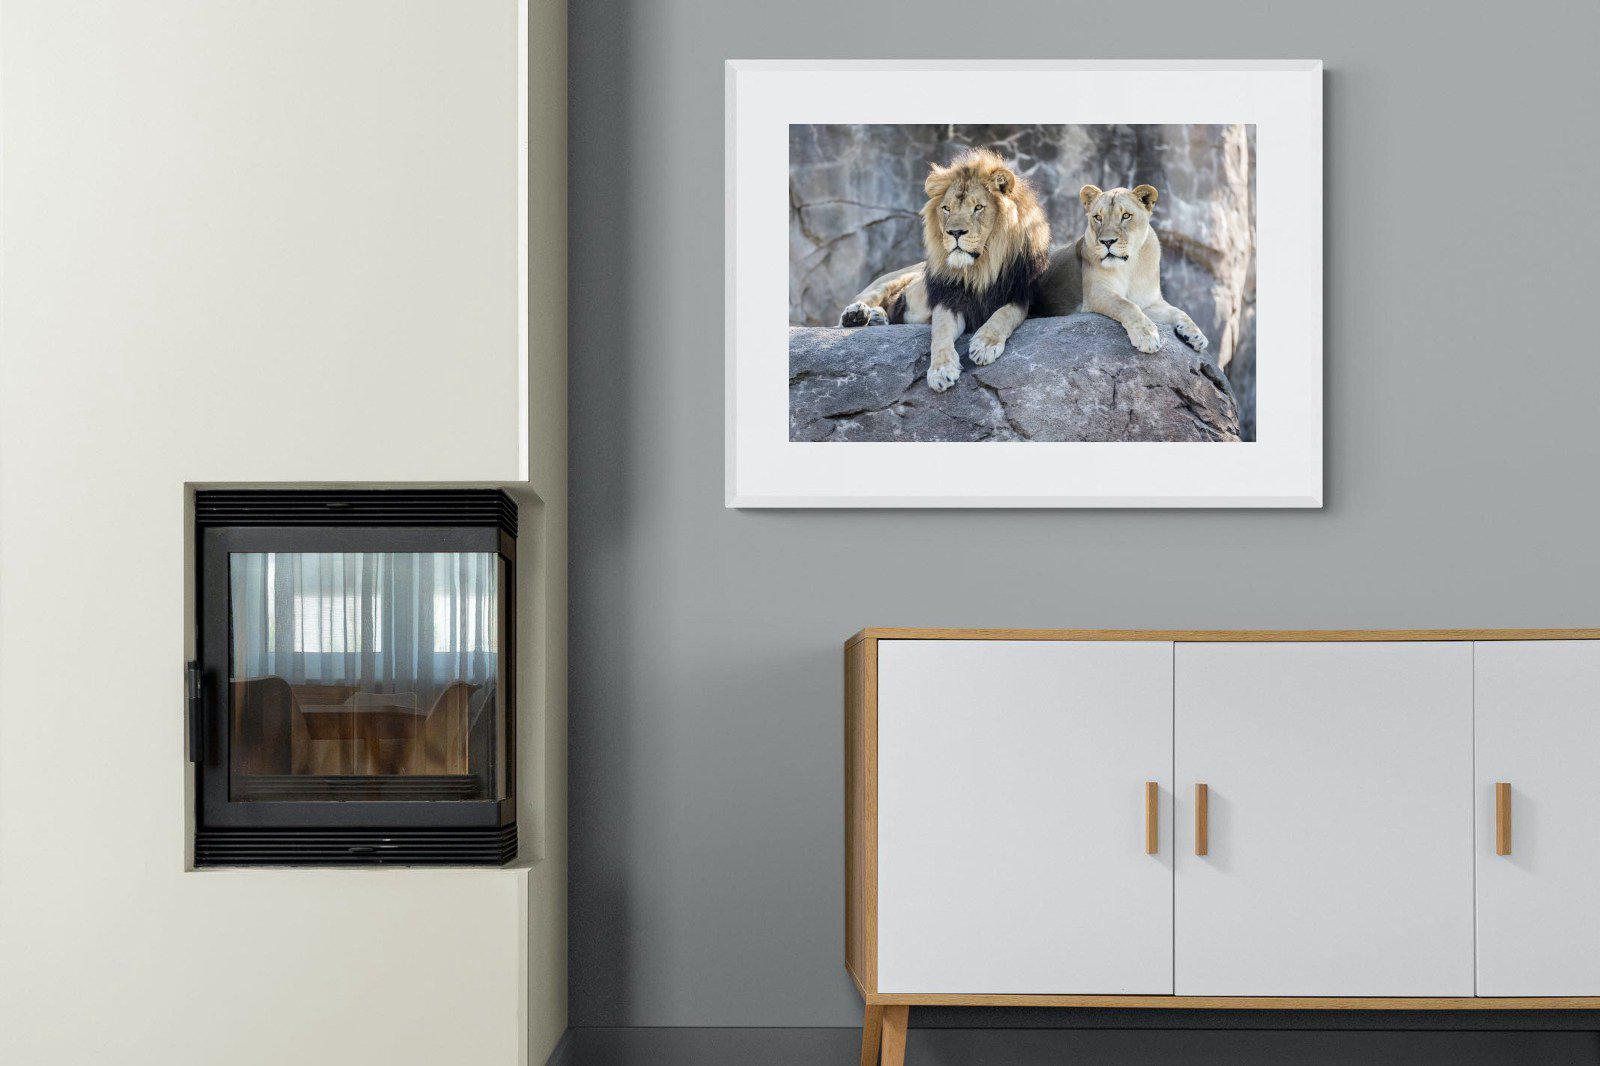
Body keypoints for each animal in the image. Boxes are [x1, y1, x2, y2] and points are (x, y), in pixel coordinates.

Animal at [836, 148, 1050, 392]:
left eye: (978, 207)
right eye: (946, 208)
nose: (955, 232)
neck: (979, 269)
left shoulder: (1021, 296)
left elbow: (1003, 315)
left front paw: (985, 345)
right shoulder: (948, 300)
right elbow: (940, 333)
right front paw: (940, 370)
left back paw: (877, 317)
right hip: (891, 279)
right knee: (860, 302)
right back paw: (856, 315)